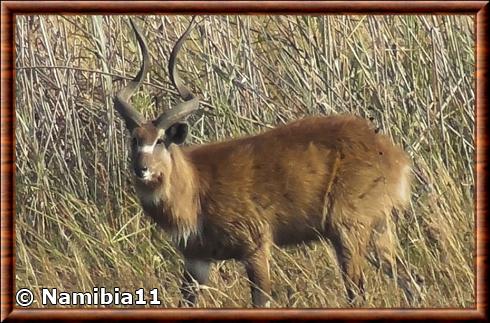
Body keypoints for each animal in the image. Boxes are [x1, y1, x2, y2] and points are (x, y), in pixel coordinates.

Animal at [114, 18, 422, 308]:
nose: (141, 169)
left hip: (347, 230)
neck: (196, 185)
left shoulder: (256, 245)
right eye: (134, 139)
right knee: (410, 281)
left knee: (357, 291)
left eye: (161, 140)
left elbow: (260, 298)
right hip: (378, 230)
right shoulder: (196, 258)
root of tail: (396, 157)